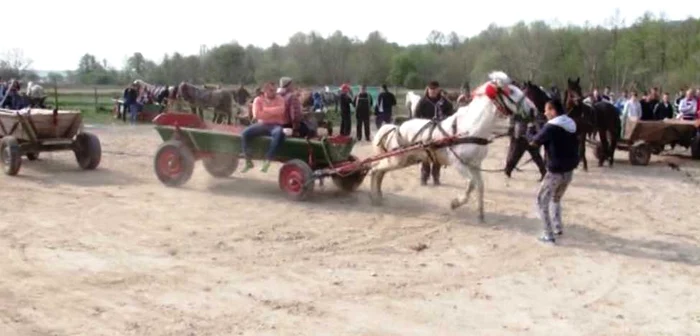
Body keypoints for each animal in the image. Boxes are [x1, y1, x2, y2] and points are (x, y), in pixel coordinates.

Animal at [370, 71, 532, 222]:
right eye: (511, 91)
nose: (532, 110)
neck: (469, 129)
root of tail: (395, 128)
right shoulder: (459, 164)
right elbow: (471, 184)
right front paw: (455, 203)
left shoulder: (475, 165)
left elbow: (480, 186)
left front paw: (480, 214)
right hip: (397, 160)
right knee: (374, 170)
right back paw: (374, 196)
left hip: (404, 161)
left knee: (380, 172)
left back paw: (379, 195)